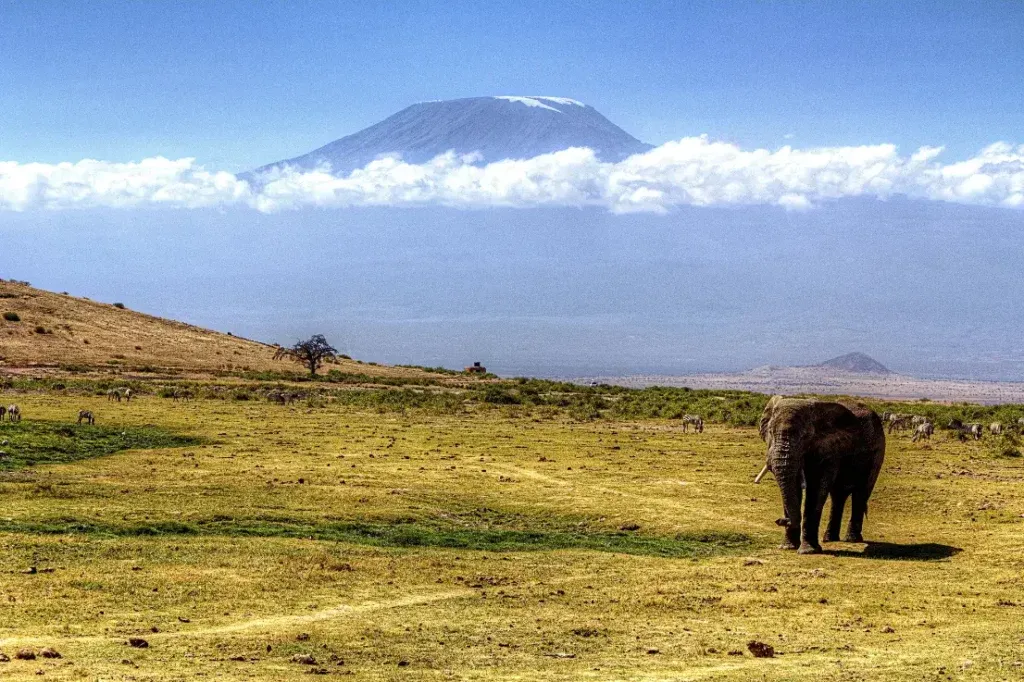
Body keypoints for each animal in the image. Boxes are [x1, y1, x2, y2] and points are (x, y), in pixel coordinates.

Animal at [759, 396, 885, 554]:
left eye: (806, 436)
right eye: (770, 432)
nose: (780, 520)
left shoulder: (829, 449)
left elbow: (816, 487)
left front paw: (808, 551)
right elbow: (794, 486)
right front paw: (787, 547)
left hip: (877, 452)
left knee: (860, 493)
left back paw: (852, 539)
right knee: (838, 496)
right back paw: (830, 538)